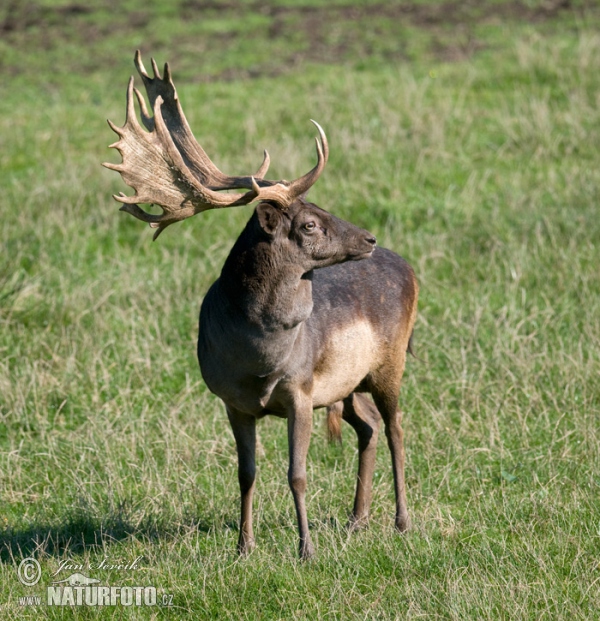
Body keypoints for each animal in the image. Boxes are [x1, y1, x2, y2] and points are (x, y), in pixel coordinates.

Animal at [104, 52, 418, 556]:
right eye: (310, 223)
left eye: (322, 207)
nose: (369, 238)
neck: (258, 359)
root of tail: (409, 268)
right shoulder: (232, 400)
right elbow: (246, 474)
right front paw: (243, 547)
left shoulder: (301, 390)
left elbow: (297, 474)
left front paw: (305, 549)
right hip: (348, 383)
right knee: (368, 427)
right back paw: (357, 519)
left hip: (390, 362)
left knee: (396, 428)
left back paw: (402, 521)